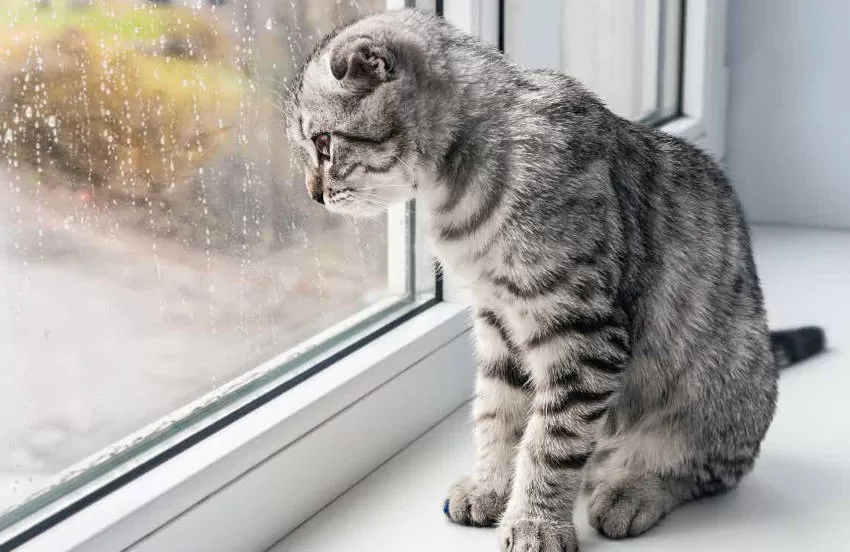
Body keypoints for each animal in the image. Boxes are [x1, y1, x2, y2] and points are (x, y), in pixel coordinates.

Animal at [284, 9, 820, 552]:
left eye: (324, 144)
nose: (312, 195)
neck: (457, 195)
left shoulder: (583, 333)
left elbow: (552, 441)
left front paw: (535, 521)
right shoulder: (498, 322)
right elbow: (499, 414)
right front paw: (491, 486)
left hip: (720, 387)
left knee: (702, 467)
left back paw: (633, 489)